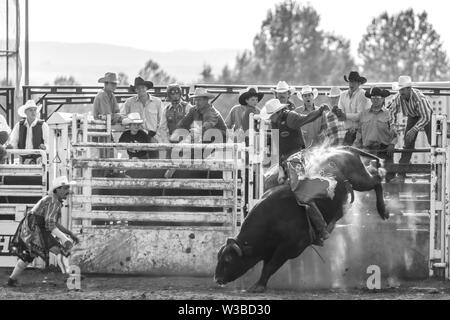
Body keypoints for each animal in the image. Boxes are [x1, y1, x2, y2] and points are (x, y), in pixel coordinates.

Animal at [214, 145, 386, 292]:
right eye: (219, 257)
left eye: (228, 259)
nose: (217, 279)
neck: (273, 219)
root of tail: (343, 149)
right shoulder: (269, 249)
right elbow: (267, 266)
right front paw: (260, 284)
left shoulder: (290, 247)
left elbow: (271, 266)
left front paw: (258, 286)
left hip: (360, 179)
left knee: (377, 181)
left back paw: (383, 210)